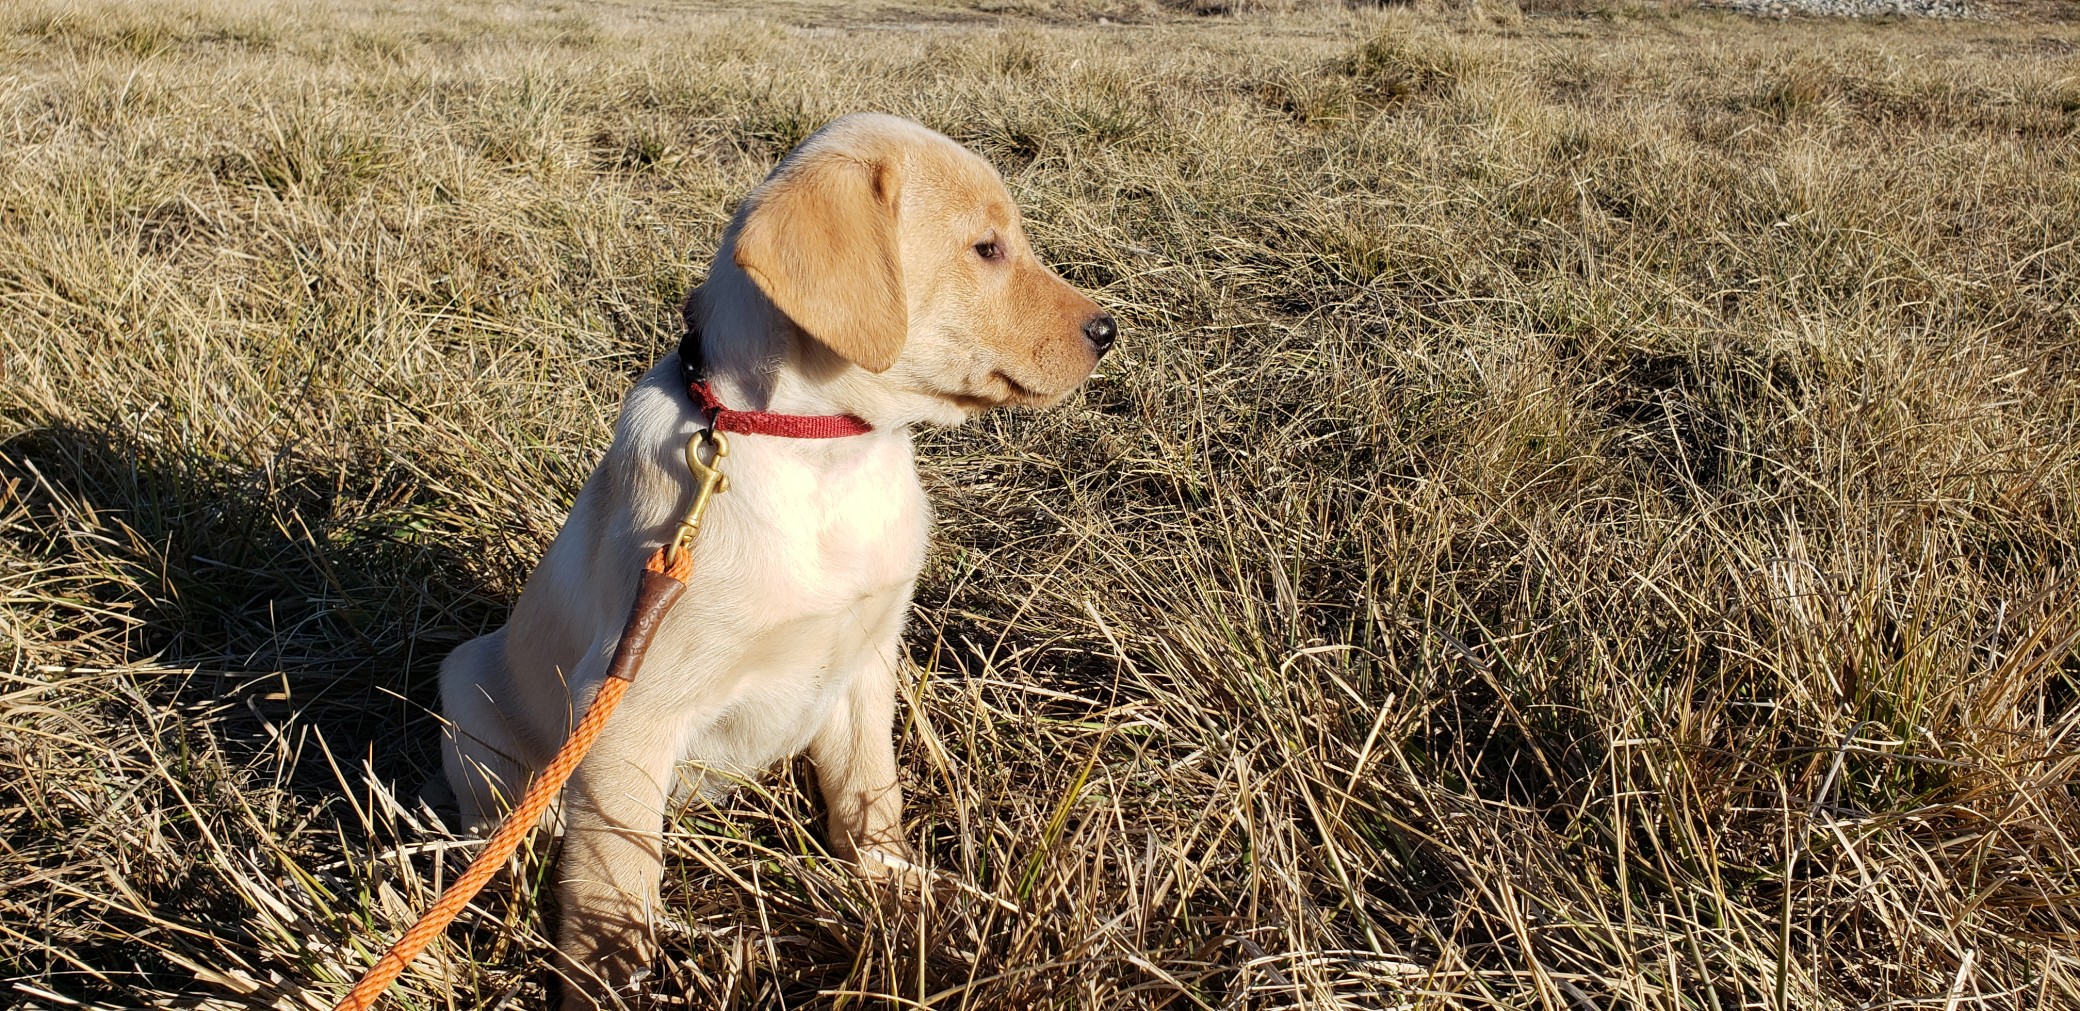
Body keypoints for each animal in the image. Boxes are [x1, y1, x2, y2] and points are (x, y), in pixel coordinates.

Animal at [432, 114, 1123, 1006]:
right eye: (986, 248)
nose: (1108, 330)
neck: (818, 450)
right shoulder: (624, 704)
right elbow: (613, 883)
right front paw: (611, 980)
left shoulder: (865, 662)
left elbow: (871, 793)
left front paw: (896, 890)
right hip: (468, 691)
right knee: (504, 819)